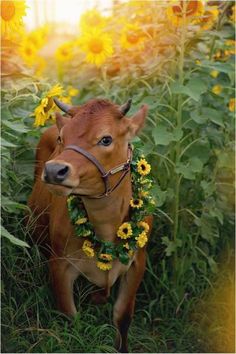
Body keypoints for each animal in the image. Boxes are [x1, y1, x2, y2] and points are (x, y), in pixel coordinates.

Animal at [28, 96, 153, 352]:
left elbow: (122, 317)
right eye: (62, 138)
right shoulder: (59, 263)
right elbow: (70, 319)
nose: (54, 170)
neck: (106, 229)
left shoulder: (138, 261)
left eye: (106, 139)